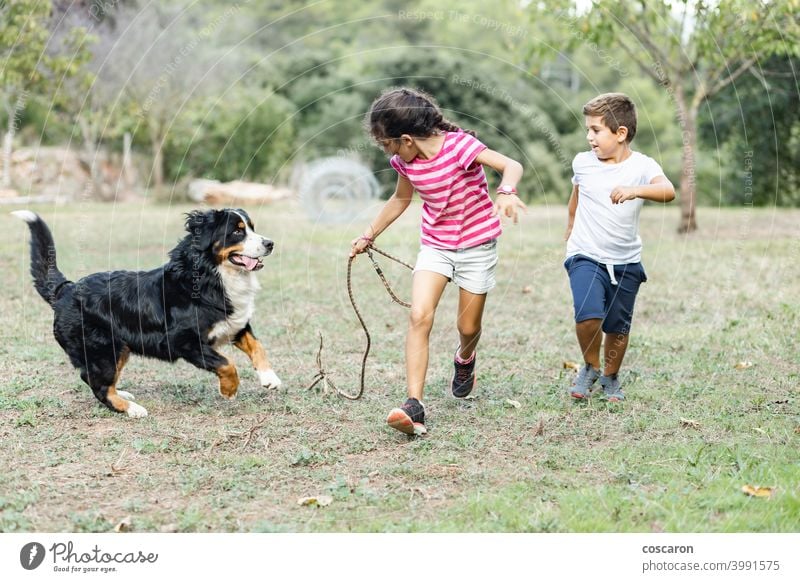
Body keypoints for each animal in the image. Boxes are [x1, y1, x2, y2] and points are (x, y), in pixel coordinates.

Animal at [12, 210, 282, 420]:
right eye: (237, 232)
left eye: (252, 227)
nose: (270, 243)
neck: (211, 276)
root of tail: (66, 290)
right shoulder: (184, 341)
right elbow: (227, 364)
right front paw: (229, 390)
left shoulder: (235, 324)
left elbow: (257, 346)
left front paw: (270, 378)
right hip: (103, 349)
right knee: (98, 385)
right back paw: (132, 409)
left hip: (119, 349)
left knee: (97, 381)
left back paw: (122, 393)